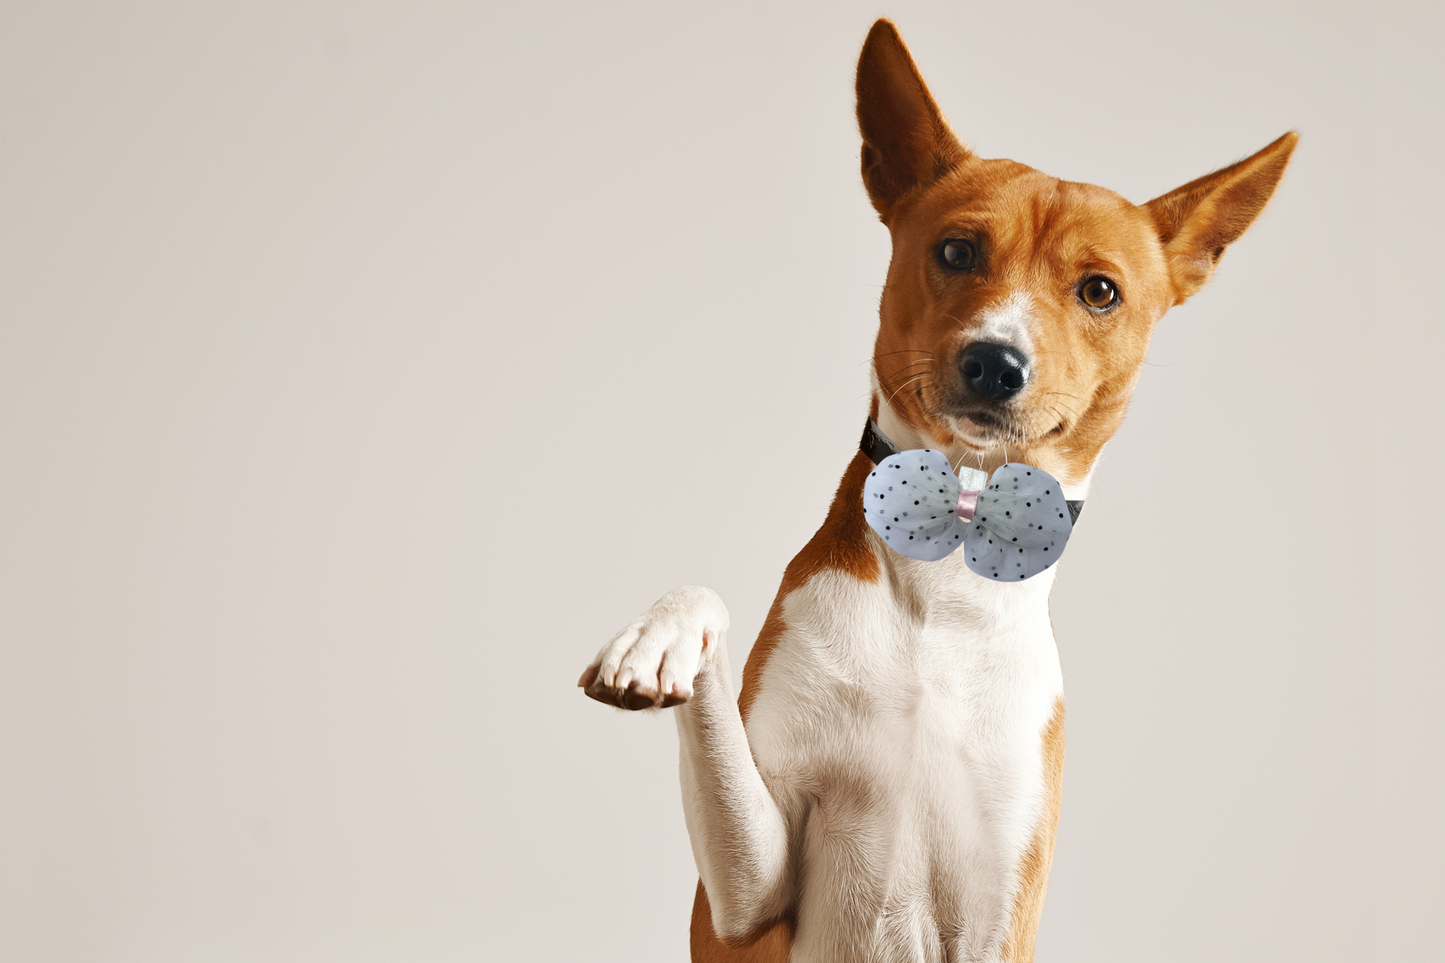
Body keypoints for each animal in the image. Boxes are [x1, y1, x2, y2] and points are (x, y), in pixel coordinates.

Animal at [575, 16, 1300, 960]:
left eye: (1099, 291)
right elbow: (705, 610)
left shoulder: (1001, 912)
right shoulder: (743, 903)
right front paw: (656, 640)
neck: (948, 561)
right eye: (957, 250)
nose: (995, 361)